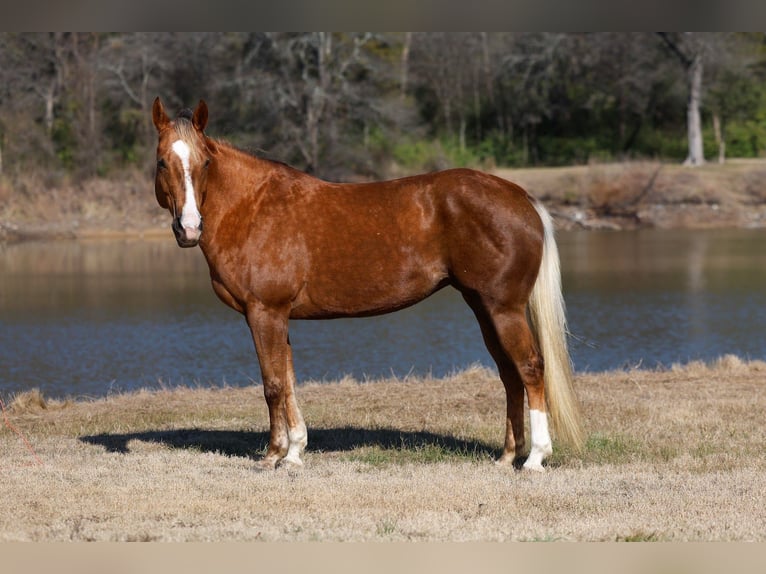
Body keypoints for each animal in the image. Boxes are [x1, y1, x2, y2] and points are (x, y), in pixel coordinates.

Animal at [151, 97, 585, 472]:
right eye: (161, 162)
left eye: (206, 162)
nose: (189, 228)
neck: (253, 208)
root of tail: (521, 196)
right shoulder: (278, 317)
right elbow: (288, 381)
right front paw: (295, 453)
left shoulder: (265, 313)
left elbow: (273, 384)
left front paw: (272, 455)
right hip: (484, 307)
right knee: (510, 374)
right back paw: (507, 456)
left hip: (503, 308)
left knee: (530, 368)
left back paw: (535, 459)